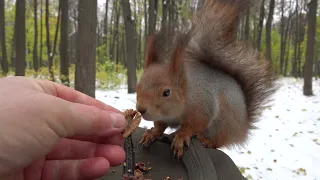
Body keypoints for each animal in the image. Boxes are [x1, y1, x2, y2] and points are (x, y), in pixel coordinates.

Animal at [135, 0, 278, 158]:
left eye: (166, 92)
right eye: (137, 87)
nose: (140, 109)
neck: (187, 91)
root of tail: (244, 126)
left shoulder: (202, 108)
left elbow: (194, 125)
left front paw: (181, 136)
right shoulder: (163, 117)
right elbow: (160, 126)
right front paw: (152, 133)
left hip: (223, 122)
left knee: (218, 140)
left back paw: (206, 141)